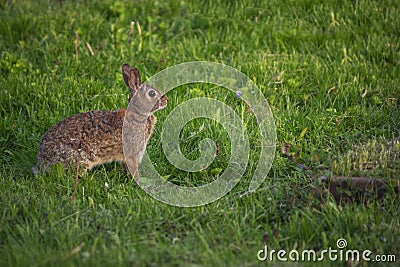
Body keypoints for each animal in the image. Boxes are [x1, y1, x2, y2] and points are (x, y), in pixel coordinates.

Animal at [32, 63, 167, 180]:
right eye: (152, 93)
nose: (166, 100)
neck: (138, 113)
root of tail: (42, 161)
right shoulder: (132, 154)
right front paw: (138, 181)